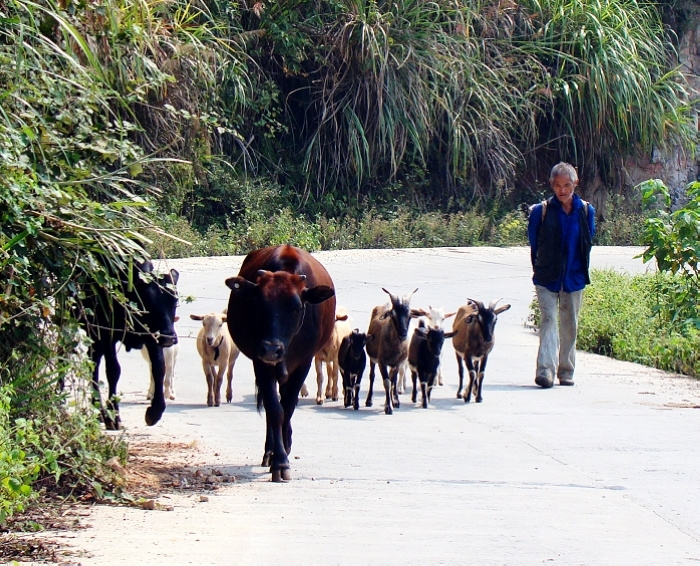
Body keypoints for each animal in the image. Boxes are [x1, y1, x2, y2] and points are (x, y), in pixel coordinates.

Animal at [223, 245, 334, 484]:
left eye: (296, 307)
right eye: (258, 303)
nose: (272, 349)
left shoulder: (304, 363)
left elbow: (288, 407)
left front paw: (283, 453)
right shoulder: (261, 363)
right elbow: (275, 410)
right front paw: (279, 461)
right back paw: (270, 450)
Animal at [364, 288, 418, 418]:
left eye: (409, 314)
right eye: (393, 315)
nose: (403, 334)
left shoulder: (397, 363)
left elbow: (392, 380)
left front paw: (394, 402)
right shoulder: (381, 362)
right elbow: (387, 382)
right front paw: (388, 407)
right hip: (372, 359)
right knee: (372, 376)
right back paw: (369, 400)